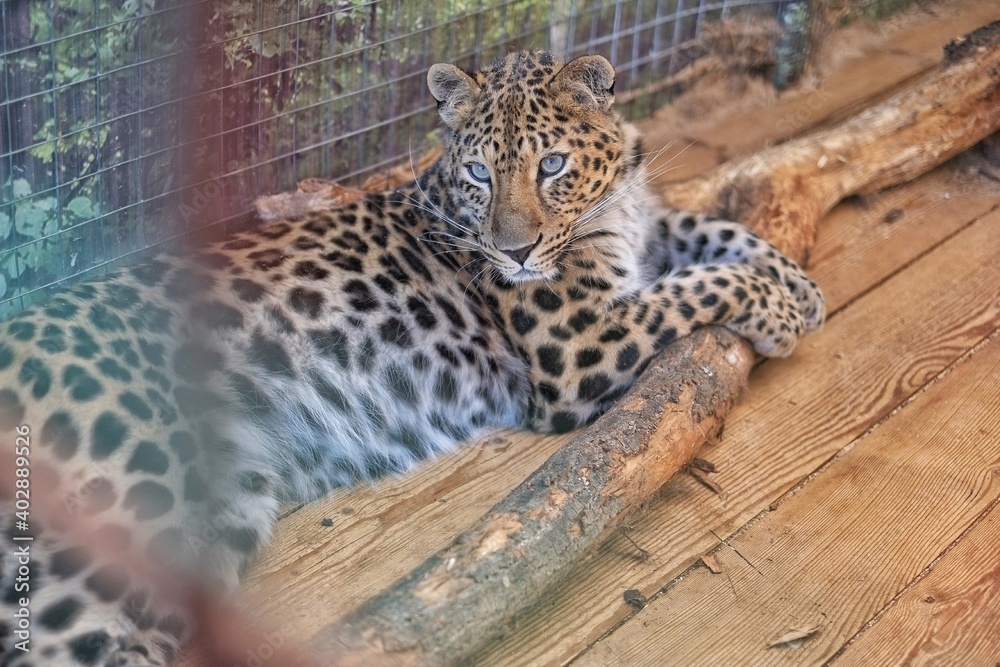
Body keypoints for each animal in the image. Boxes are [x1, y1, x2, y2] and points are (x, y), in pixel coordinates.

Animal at [0, 50, 823, 666]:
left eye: (553, 165)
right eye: (481, 174)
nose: (513, 252)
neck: (612, 209)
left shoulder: (644, 232)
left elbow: (707, 231)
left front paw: (799, 283)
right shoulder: (578, 343)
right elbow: (696, 285)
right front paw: (781, 306)